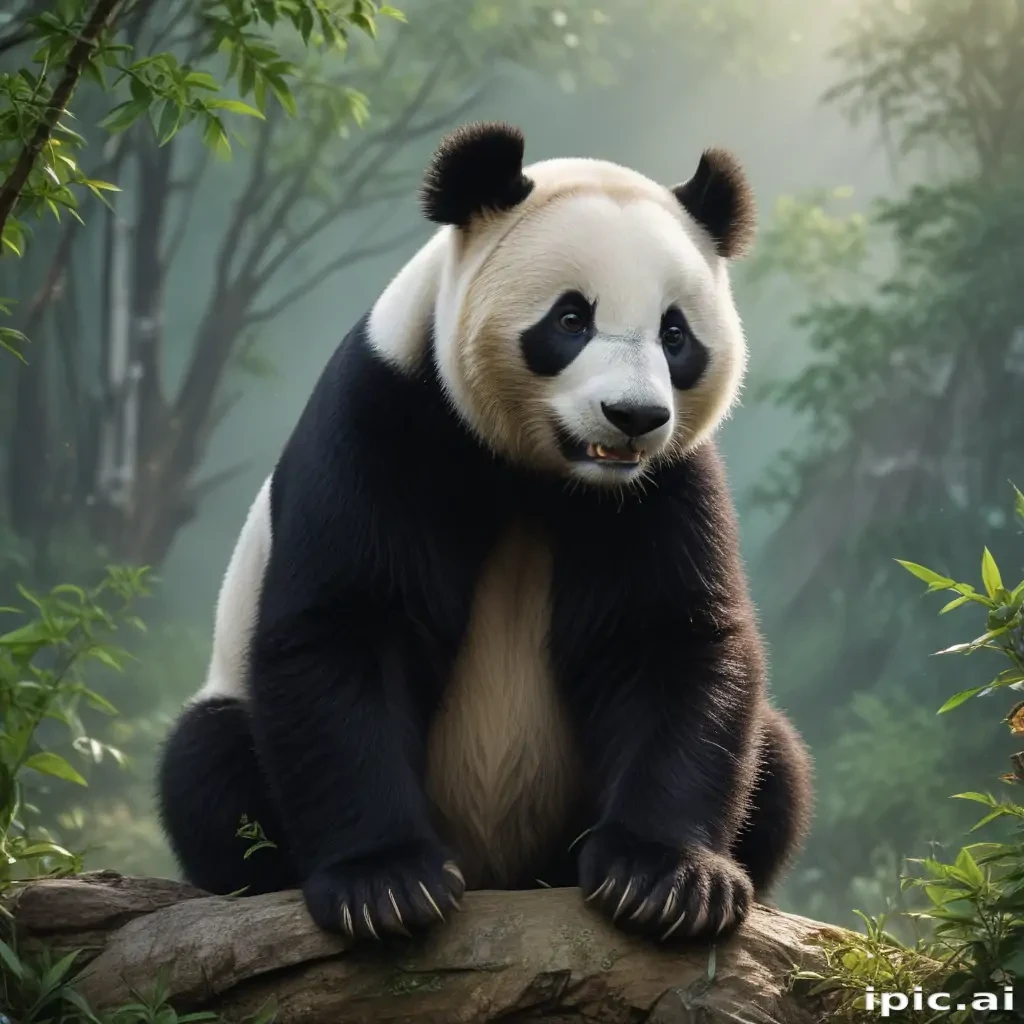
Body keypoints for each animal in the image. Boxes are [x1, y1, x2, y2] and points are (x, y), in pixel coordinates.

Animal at [158, 121, 813, 946]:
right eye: (571, 320)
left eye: (675, 334)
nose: (633, 416)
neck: (538, 473)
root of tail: (503, 874)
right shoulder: (384, 417)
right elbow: (345, 626)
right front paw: (386, 887)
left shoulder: (666, 482)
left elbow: (670, 638)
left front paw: (665, 882)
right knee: (205, 766)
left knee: (778, 760)